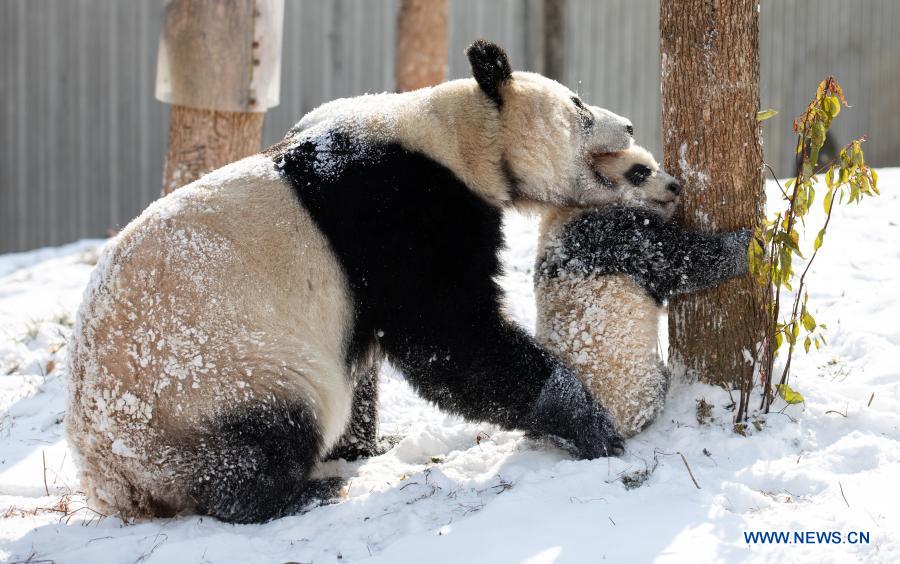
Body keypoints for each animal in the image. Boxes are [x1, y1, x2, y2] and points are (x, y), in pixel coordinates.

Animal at [67, 40, 636, 524]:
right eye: (579, 106)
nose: (630, 125)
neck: (457, 133)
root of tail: (112, 478)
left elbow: (370, 357)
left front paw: (366, 446)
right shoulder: (403, 211)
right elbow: (449, 342)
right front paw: (590, 422)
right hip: (210, 380)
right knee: (260, 437)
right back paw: (297, 494)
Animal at [536, 144, 752, 436]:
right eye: (639, 172)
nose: (675, 186)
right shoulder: (617, 234)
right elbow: (680, 261)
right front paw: (743, 246)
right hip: (632, 384)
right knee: (651, 389)